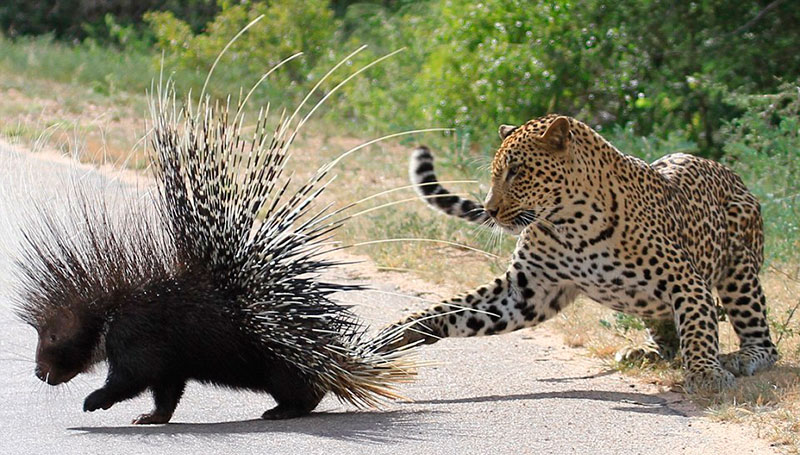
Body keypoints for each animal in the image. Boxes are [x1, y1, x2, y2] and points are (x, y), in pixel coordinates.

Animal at [386, 115, 776, 396]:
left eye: (516, 171)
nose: (490, 210)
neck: (570, 224)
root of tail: (732, 175)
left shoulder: (685, 279)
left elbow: (698, 327)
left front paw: (706, 374)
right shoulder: (526, 290)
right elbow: (454, 309)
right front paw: (400, 331)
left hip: (740, 269)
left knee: (765, 341)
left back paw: (743, 357)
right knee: (666, 329)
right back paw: (647, 352)